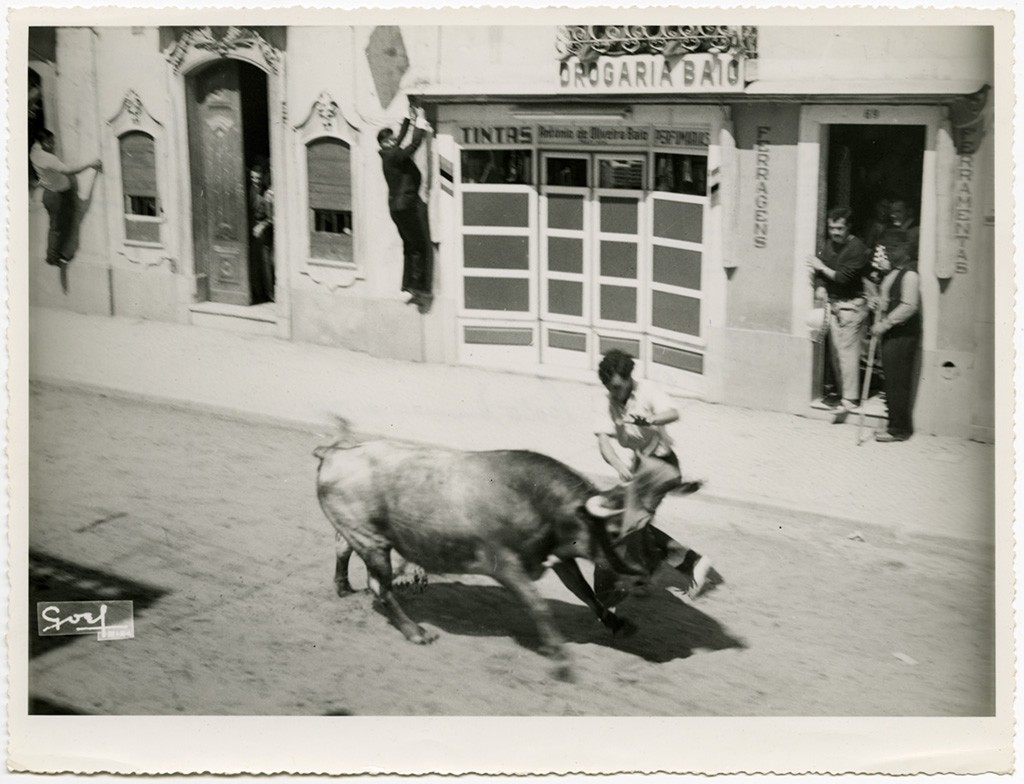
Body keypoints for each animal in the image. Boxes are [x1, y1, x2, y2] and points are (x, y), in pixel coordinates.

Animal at [313, 436, 663, 679]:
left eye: (647, 526)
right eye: (617, 530)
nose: (646, 570)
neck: (536, 499)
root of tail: (336, 452)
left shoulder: (559, 556)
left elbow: (585, 592)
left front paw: (617, 624)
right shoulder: (507, 566)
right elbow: (539, 606)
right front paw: (561, 661)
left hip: (359, 534)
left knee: (342, 548)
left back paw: (344, 588)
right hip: (371, 542)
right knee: (379, 586)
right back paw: (416, 632)